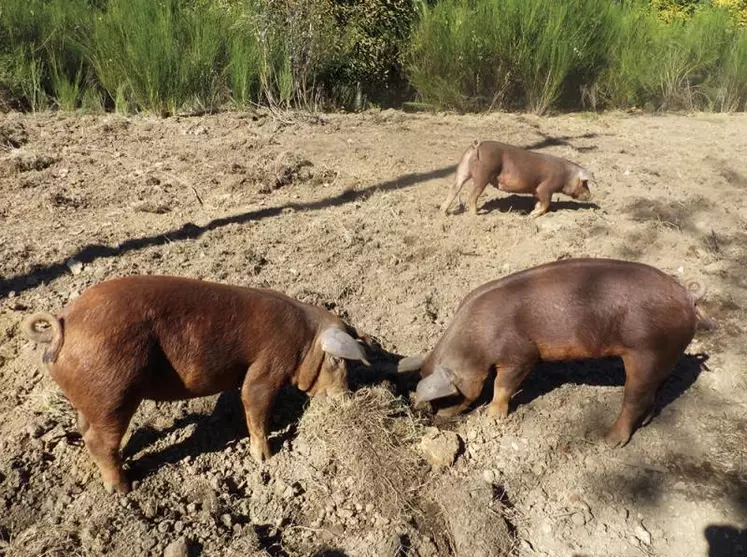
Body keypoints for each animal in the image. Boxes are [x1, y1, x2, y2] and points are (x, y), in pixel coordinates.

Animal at [23, 276, 372, 494]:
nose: (349, 399)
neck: (304, 341)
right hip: (114, 392)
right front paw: (266, 458)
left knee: (85, 430)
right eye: (339, 361)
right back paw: (123, 488)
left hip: (93, 399)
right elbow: (254, 403)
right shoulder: (267, 368)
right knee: (99, 441)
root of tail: (63, 323)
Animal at [400, 258, 716, 446]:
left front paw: (493, 417)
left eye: (448, 396)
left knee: (635, 399)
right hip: (665, 356)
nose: (439, 420)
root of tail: (688, 295)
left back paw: (607, 440)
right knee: (655, 393)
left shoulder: (521, 355)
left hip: (647, 352)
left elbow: (503, 386)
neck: (475, 343)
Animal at [444, 140, 596, 216]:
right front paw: (532, 215)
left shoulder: (536, 191)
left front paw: (533, 211)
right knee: (472, 196)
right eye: (584, 183)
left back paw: (443, 212)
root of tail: (478, 145)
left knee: (454, 188)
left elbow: (538, 202)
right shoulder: (545, 188)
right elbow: (546, 203)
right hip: (483, 174)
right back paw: (475, 216)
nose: (591, 196)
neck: (566, 175)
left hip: (463, 167)